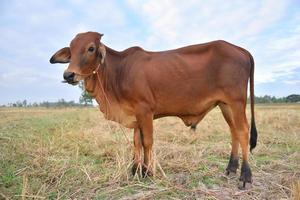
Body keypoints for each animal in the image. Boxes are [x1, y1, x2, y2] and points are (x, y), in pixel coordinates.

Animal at [49, 31, 258, 189]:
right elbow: (136, 143)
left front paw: (148, 172)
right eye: (71, 50)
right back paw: (231, 169)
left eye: (91, 48)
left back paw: (245, 176)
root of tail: (241, 49)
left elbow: (147, 142)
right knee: (234, 132)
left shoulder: (145, 111)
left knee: (243, 132)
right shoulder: (135, 114)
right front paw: (135, 170)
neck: (119, 71)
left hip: (236, 102)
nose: (68, 75)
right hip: (225, 105)